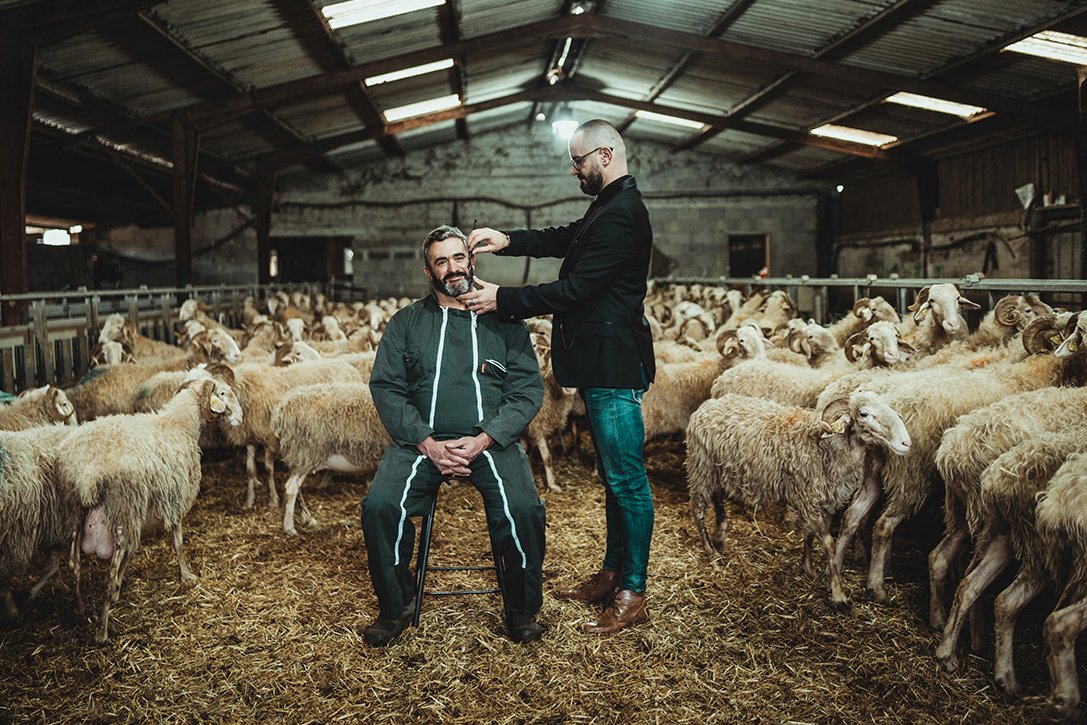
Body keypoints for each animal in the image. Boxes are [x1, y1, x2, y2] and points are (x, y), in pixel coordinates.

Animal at [58, 378, 242, 643]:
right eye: (224, 393)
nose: (240, 417)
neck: (180, 423)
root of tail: (87, 474)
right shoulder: (176, 498)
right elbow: (178, 542)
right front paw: (187, 575)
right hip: (123, 509)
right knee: (109, 576)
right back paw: (102, 632)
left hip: (78, 512)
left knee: (75, 564)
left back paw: (80, 608)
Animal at [270, 382, 391, 536]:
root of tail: (282, 408)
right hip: (306, 452)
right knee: (291, 488)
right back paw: (289, 527)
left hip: (301, 457)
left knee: (297, 488)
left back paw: (307, 519)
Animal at [686, 391, 908, 608]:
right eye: (863, 414)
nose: (906, 443)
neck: (826, 447)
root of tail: (707, 405)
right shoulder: (807, 500)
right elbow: (829, 544)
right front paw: (838, 595)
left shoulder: (818, 501)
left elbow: (810, 535)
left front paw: (807, 568)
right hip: (701, 464)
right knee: (697, 507)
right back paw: (710, 549)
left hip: (716, 468)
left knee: (716, 496)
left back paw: (720, 534)